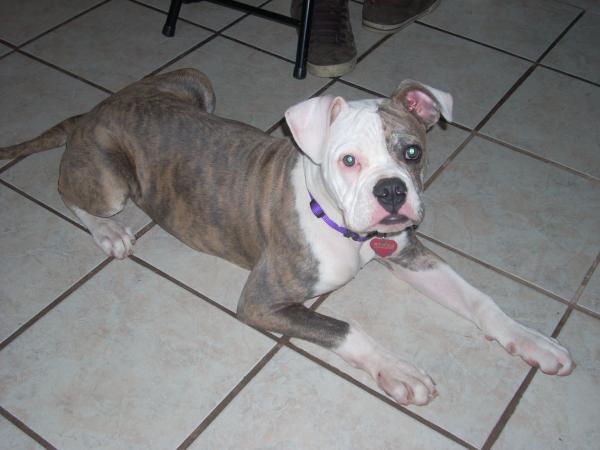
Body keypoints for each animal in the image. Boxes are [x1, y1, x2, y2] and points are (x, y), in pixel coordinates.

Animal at [0, 68, 572, 406]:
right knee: (69, 193)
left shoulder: (406, 251)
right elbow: (345, 327)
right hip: (112, 179)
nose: (391, 191)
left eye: (412, 152)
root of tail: (95, 110)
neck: (344, 227)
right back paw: (109, 231)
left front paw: (533, 340)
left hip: (197, 83)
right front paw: (396, 368)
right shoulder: (262, 300)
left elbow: (479, 300)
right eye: (348, 160)